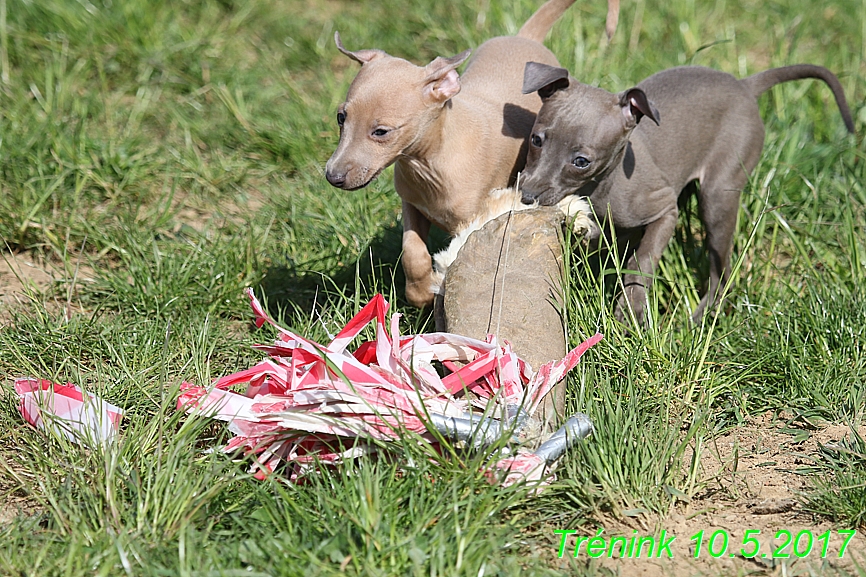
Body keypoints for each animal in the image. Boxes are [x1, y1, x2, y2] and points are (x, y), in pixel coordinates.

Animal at [516, 64, 852, 324]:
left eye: (581, 161)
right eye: (536, 140)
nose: (527, 196)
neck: (602, 185)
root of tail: (743, 86)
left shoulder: (665, 210)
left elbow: (642, 259)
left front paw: (631, 310)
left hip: (719, 194)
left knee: (721, 269)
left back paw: (701, 317)